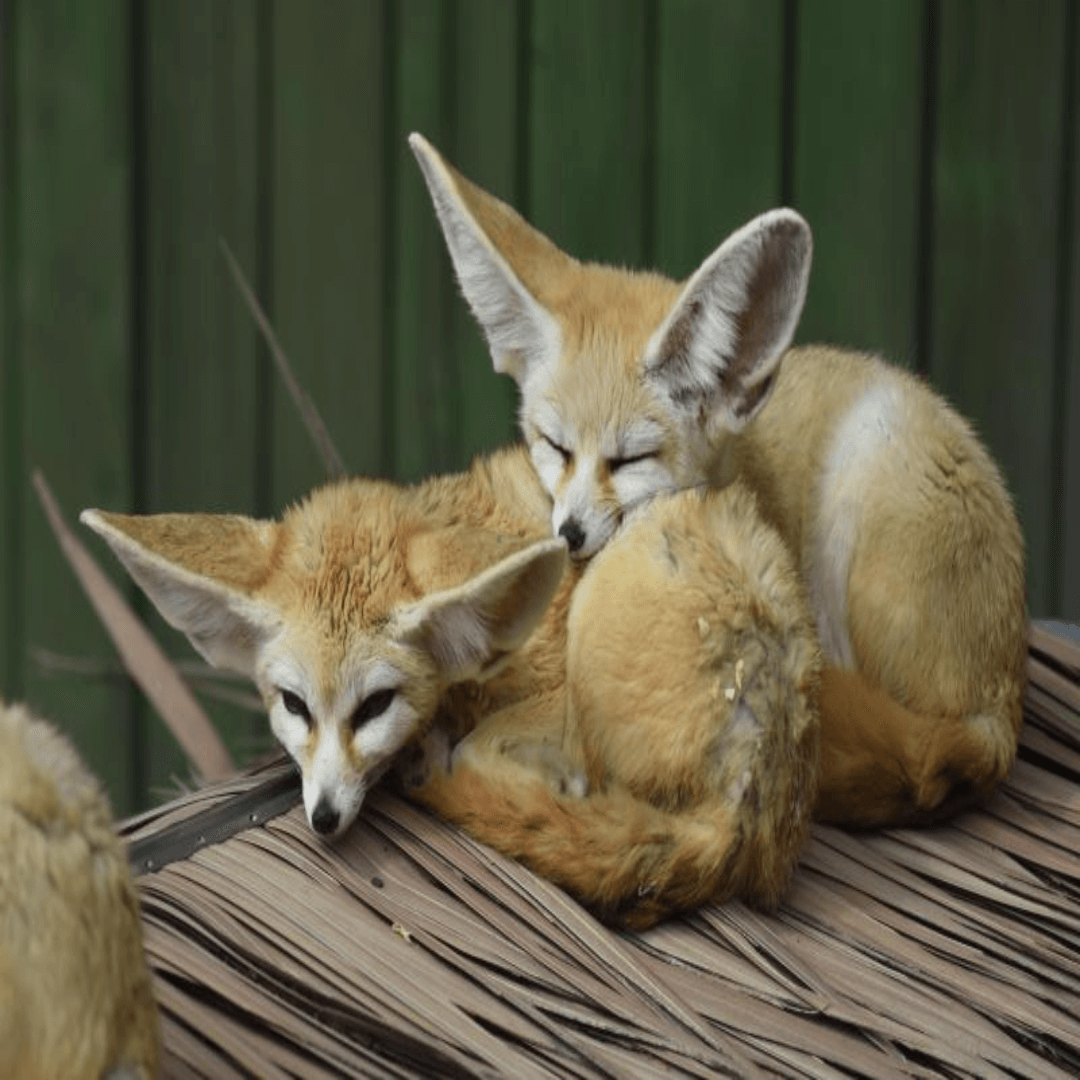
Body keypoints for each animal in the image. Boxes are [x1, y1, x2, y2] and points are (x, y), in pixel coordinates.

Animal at [410, 135, 1028, 825]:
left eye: (630, 460)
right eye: (556, 446)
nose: (568, 534)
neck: (745, 467)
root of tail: (1001, 708)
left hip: (870, 455)